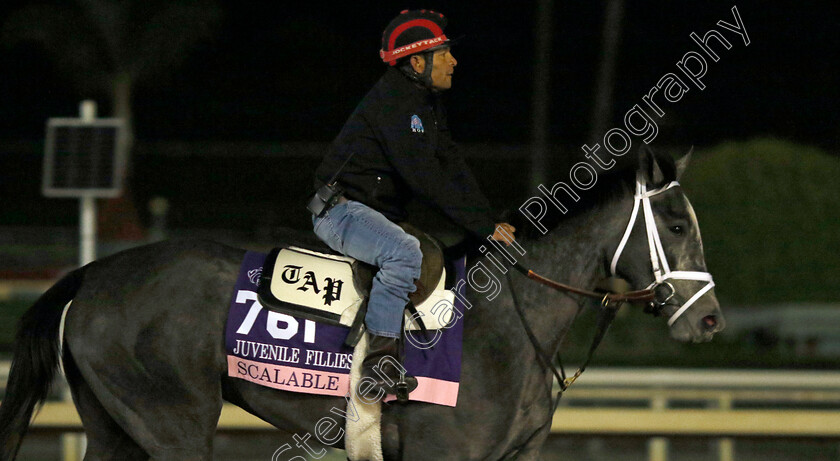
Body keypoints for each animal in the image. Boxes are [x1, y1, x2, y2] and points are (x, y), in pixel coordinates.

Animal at [0, 146, 720, 456]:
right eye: (677, 224)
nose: (709, 319)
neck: (508, 327)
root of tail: (92, 275)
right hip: (172, 422)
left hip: (113, 425)